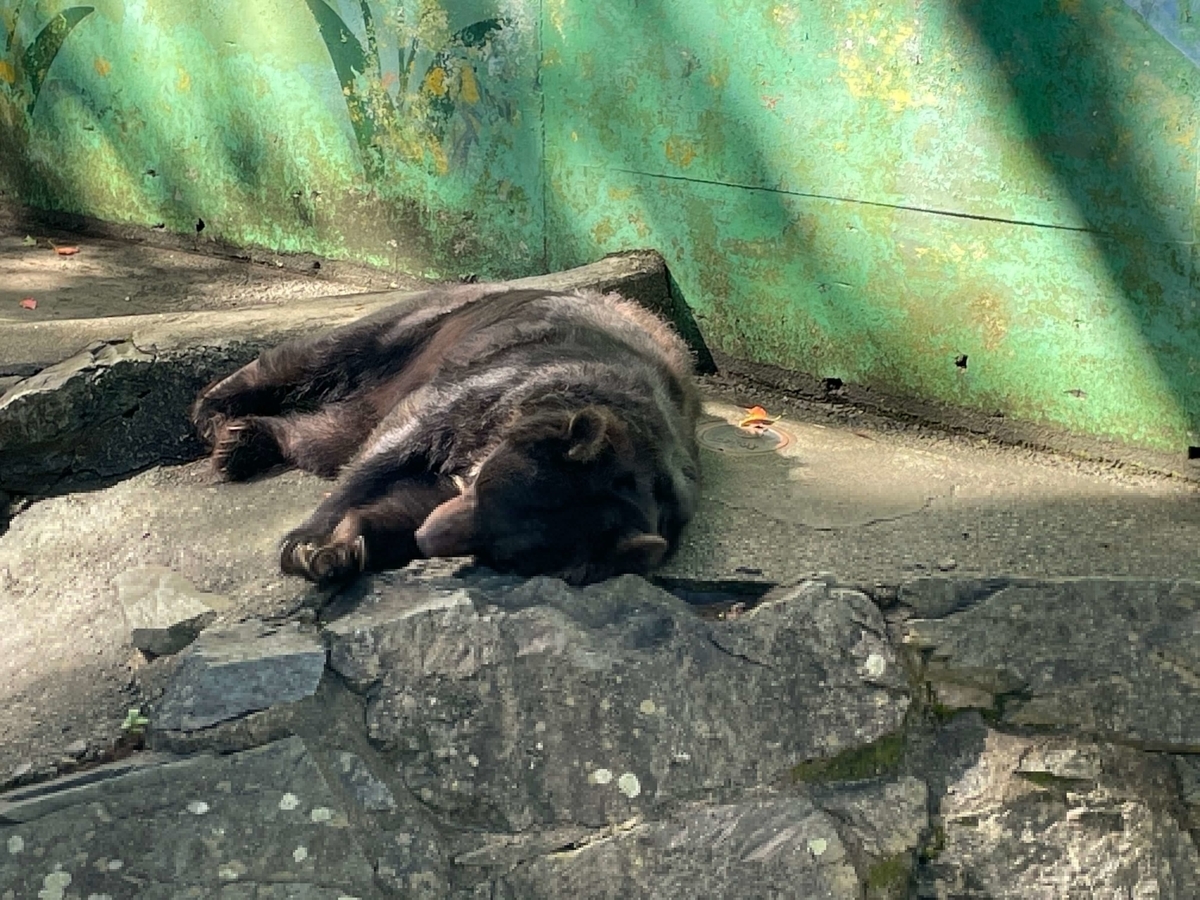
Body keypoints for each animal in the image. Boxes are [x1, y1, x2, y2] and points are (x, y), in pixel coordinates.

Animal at [189, 285, 700, 588]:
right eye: (491, 489)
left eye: (506, 556)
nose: (427, 540)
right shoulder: (483, 393)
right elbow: (388, 451)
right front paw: (308, 544)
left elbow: (406, 499)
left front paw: (346, 549)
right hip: (419, 328)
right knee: (314, 359)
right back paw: (218, 421)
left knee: (325, 437)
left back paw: (245, 441)